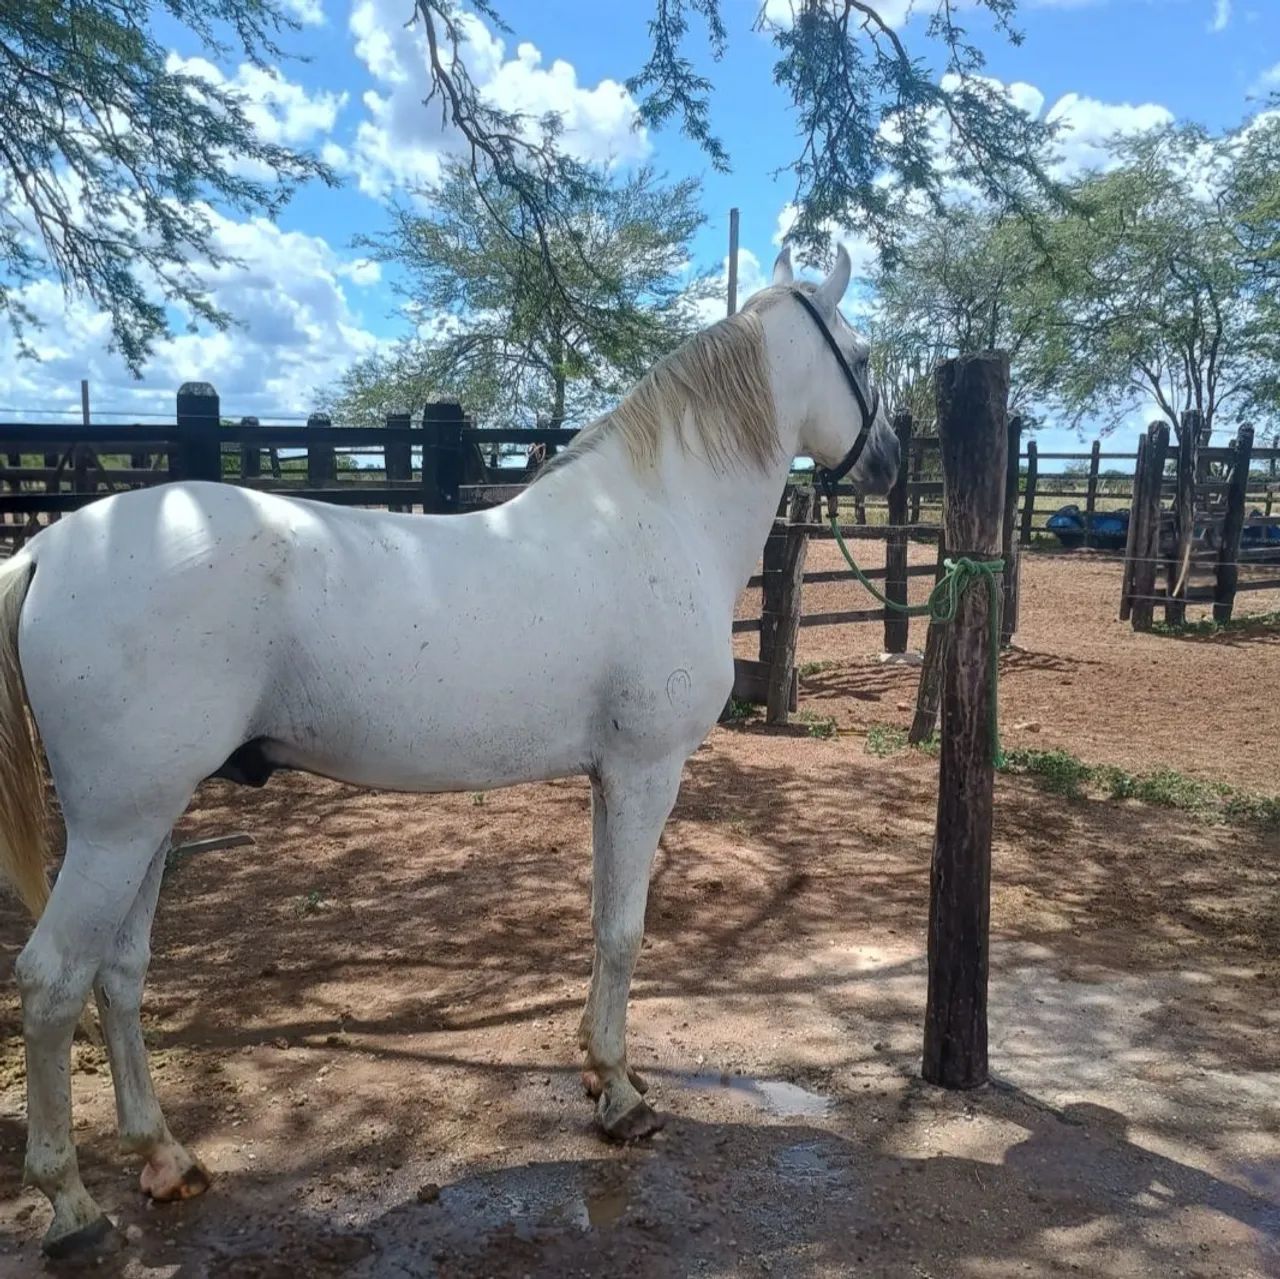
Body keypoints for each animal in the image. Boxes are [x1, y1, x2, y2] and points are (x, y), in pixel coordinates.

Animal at [0, 245, 898, 1258]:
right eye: (864, 356)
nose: (894, 459)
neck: (660, 520)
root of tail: (46, 551)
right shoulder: (646, 772)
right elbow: (625, 931)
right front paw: (623, 1100)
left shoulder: (606, 778)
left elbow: (600, 922)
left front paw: (600, 1073)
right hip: (117, 827)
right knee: (52, 980)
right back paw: (72, 1206)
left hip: (148, 822)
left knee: (119, 973)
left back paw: (165, 1156)